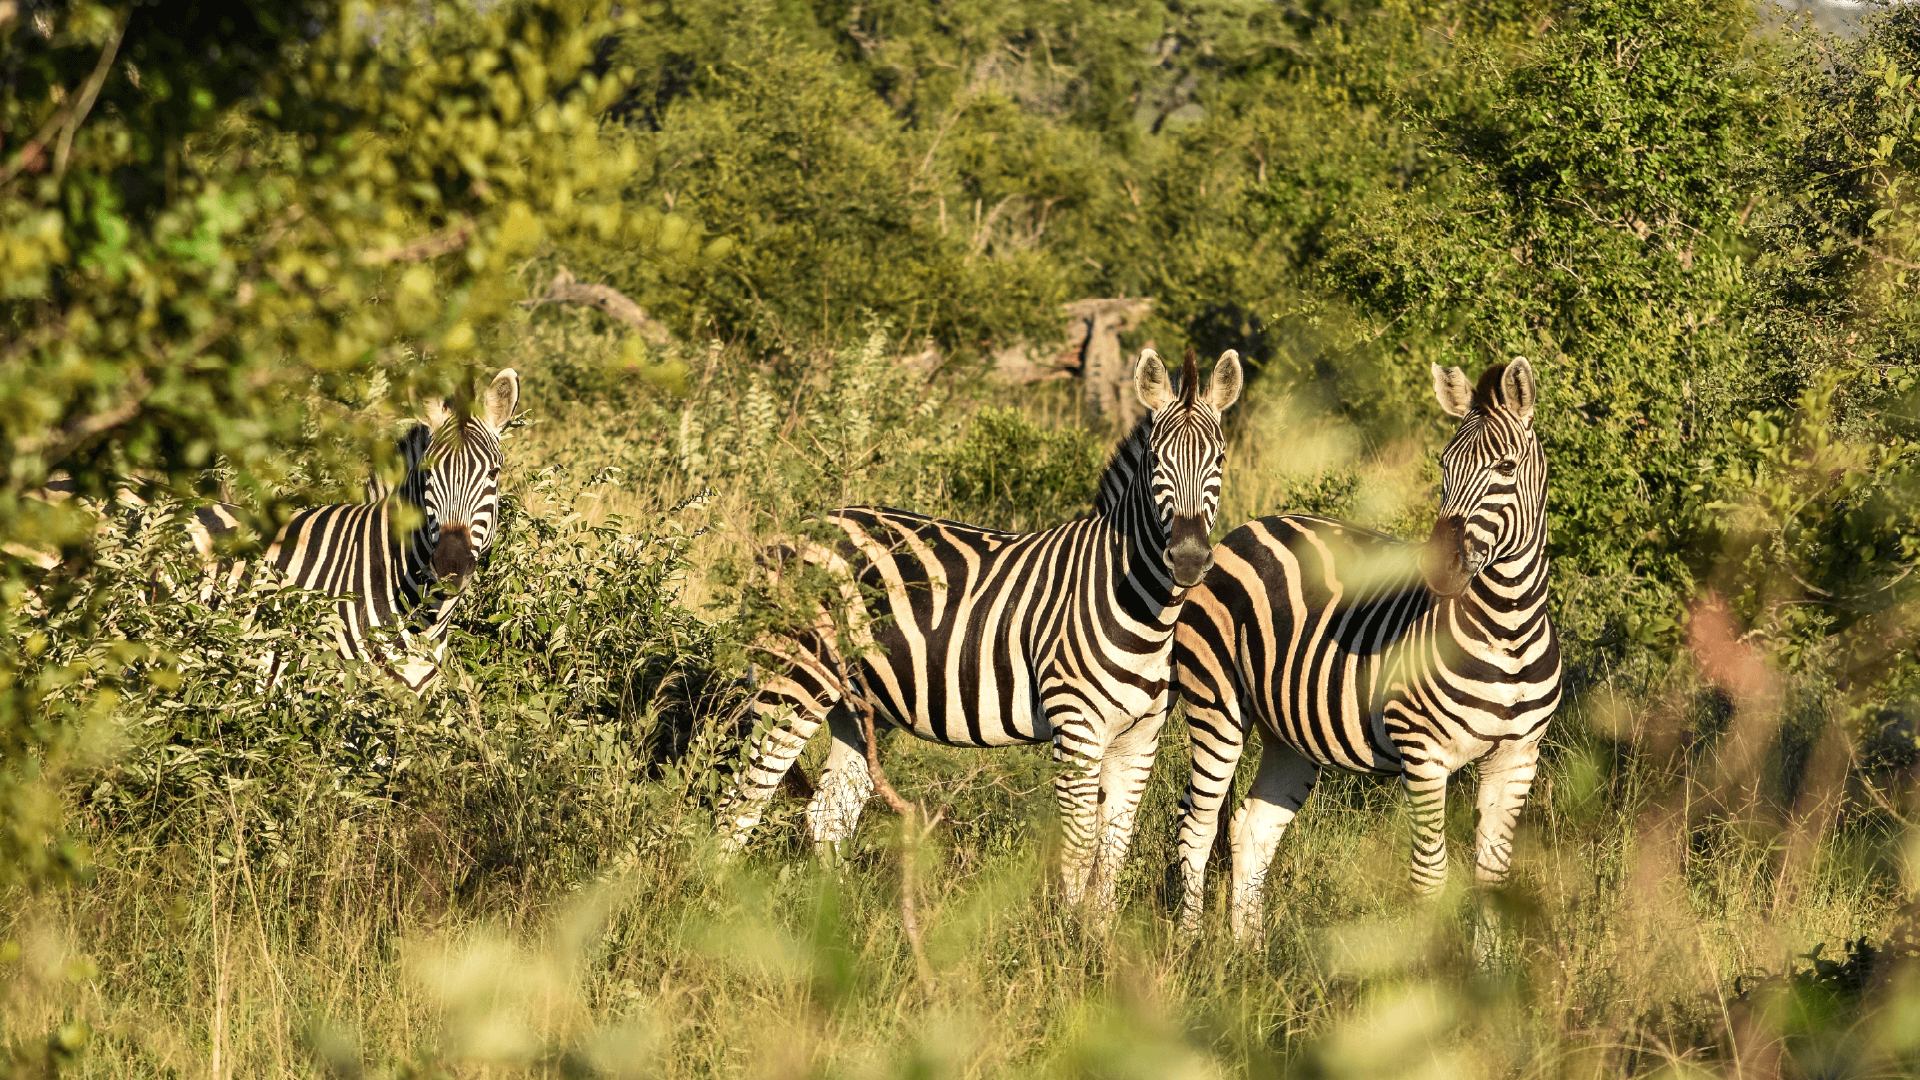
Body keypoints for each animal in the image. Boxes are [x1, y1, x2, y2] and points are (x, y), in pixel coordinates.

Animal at [717, 348, 1243, 913]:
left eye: (1219, 461)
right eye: (1157, 463)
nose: (1188, 560)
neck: (1143, 611)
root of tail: (798, 528)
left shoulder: (1140, 737)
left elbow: (1112, 856)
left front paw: (1098, 934)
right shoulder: (1075, 726)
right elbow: (1080, 850)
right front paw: (1067, 934)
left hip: (857, 702)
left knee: (827, 815)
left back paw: (835, 924)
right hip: (793, 679)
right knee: (741, 805)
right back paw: (712, 904)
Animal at [1171, 358, 1560, 939]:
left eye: (1507, 467)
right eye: (1444, 465)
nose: (1439, 569)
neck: (1507, 632)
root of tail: (1251, 525)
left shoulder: (1516, 758)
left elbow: (1493, 880)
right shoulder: (1424, 753)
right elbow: (1430, 876)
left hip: (1288, 732)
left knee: (1253, 831)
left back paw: (1246, 953)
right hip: (1216, 703)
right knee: (1196, 828)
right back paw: (1192, 948)